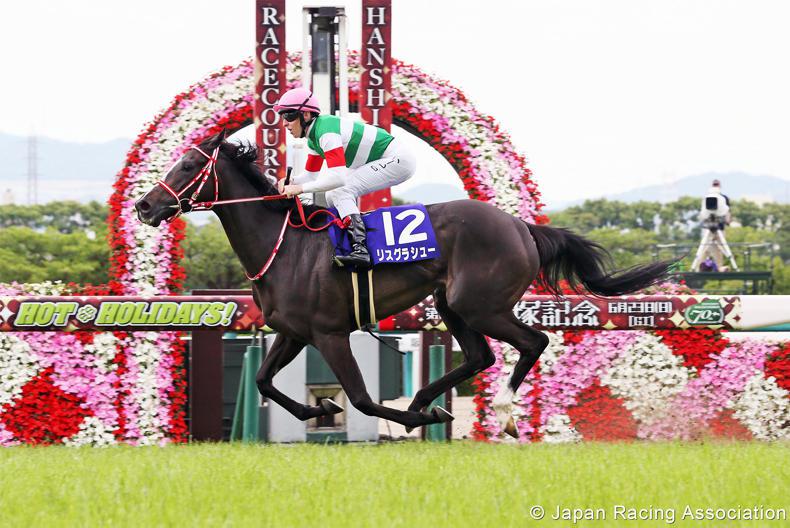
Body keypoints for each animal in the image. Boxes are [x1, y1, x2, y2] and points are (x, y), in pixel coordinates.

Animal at [135, 130, 675, 437]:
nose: (144, 206)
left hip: (480, 304)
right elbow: (265, 380)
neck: (284, 246)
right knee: (480, 356)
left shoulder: (330, 334)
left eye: (188, 165)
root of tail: (522, 227)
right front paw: (318, 409)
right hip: (453, 303)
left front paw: (415, 419)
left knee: (532, 342)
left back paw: (498, 413)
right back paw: (423, 399)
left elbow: (360, 398)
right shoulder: (293, 332)